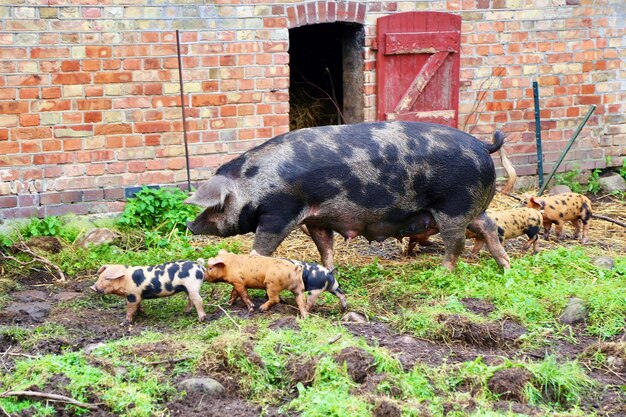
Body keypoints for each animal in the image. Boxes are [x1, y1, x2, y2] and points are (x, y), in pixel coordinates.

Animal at [185, 120, 508, 270]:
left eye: (215, 206)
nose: (190, 225)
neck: (253, 184)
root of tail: (482, 145)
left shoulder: (280, 212)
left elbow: (263, 246)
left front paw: (251, 260)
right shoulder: (316, 219)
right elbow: (324, 246)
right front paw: (328, 270)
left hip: (453, 206)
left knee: (457, 241)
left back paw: (444, 271)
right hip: (472, 207)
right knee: (489, 227)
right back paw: (505, 266)